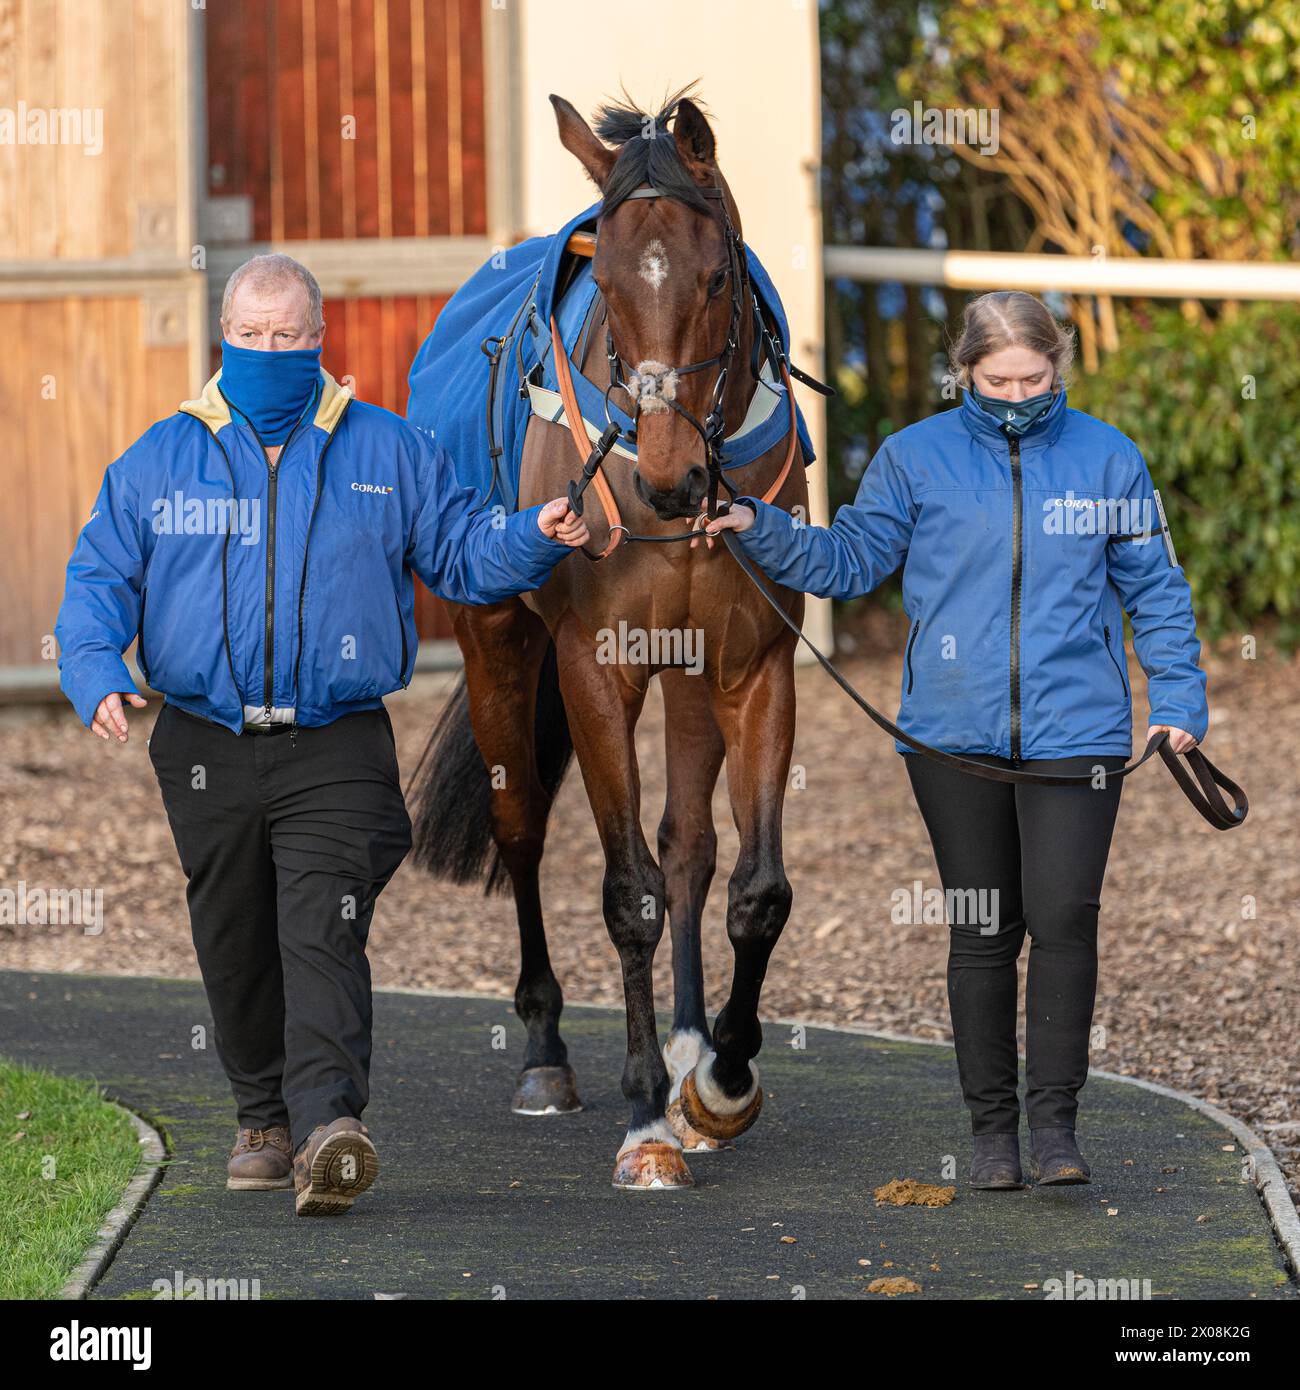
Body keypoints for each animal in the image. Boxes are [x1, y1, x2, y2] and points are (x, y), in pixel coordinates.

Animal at [411, 92, 806, 1189]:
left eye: (716, 277)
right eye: (615, 287)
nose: (671, 476)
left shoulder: (753, 665)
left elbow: (754, 888)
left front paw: (720, 1077)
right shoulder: (594, 668)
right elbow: (627, 892)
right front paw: (644, 1119)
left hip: (689, 675)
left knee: (689, 846)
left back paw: (688, 1043)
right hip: (495, 642)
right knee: (521, 828)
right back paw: (546, 1053)